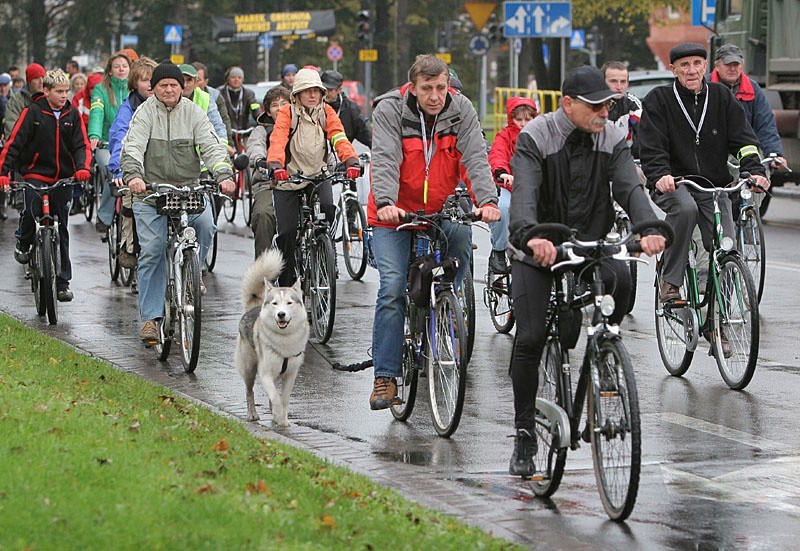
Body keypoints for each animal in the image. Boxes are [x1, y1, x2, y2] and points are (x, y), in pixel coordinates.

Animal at [233, 249, 308, 426]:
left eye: (289, 303)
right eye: (274, 303)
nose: (281, 314)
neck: (284, 339)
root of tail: (254, 308)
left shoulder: (291, 374)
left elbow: (284, 398)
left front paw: (282, 417)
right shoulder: (265, 373)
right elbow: (275, 397)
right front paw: (279, 416)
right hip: (249, 369)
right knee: (249, 391)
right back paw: (252, 414)